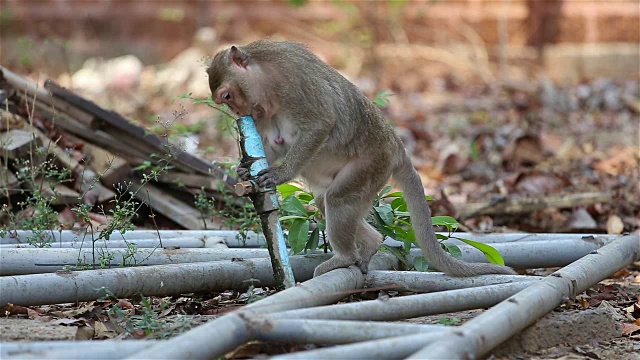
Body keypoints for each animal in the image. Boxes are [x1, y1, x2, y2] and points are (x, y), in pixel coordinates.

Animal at [208, 39, 516, 278]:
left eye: (228, 96)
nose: (239, 113)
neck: (265, 76)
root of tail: (396, 146)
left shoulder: (293, 80)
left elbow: (320, 123)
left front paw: (281, 173)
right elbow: (272, 142)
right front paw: (244, 170)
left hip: (372, 165)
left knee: (338, 199)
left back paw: (344, 257)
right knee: (327, 200)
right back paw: (370, 244)